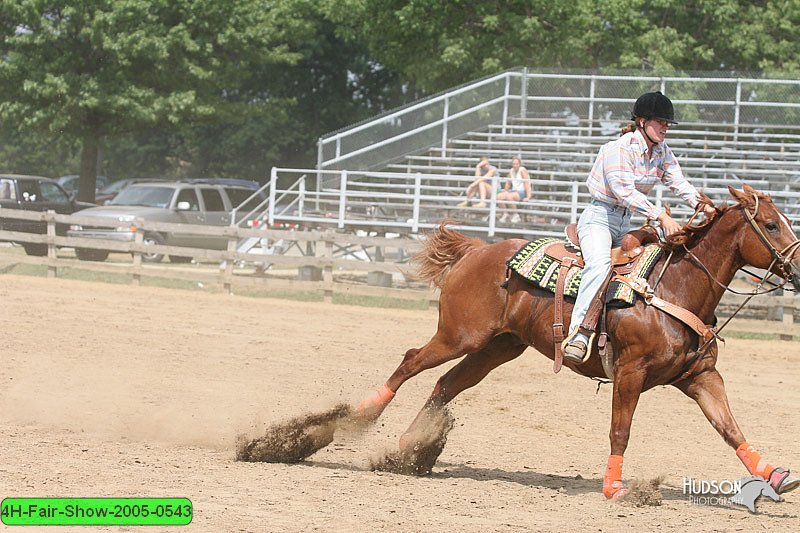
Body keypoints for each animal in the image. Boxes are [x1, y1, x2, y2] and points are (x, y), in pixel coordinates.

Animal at [242, 185, 800, 500]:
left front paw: (775, 477)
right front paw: (615, 488)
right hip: (458, 334)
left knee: (445, 384)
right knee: (411, 363)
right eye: (772, 224)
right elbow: (620, 432)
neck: (674, 286)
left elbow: (730, 428)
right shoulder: (631, 374)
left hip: (496, 348)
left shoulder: (700, 376)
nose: (796, 266)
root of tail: (476, 249)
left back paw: (407, 450)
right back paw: (357, 418)